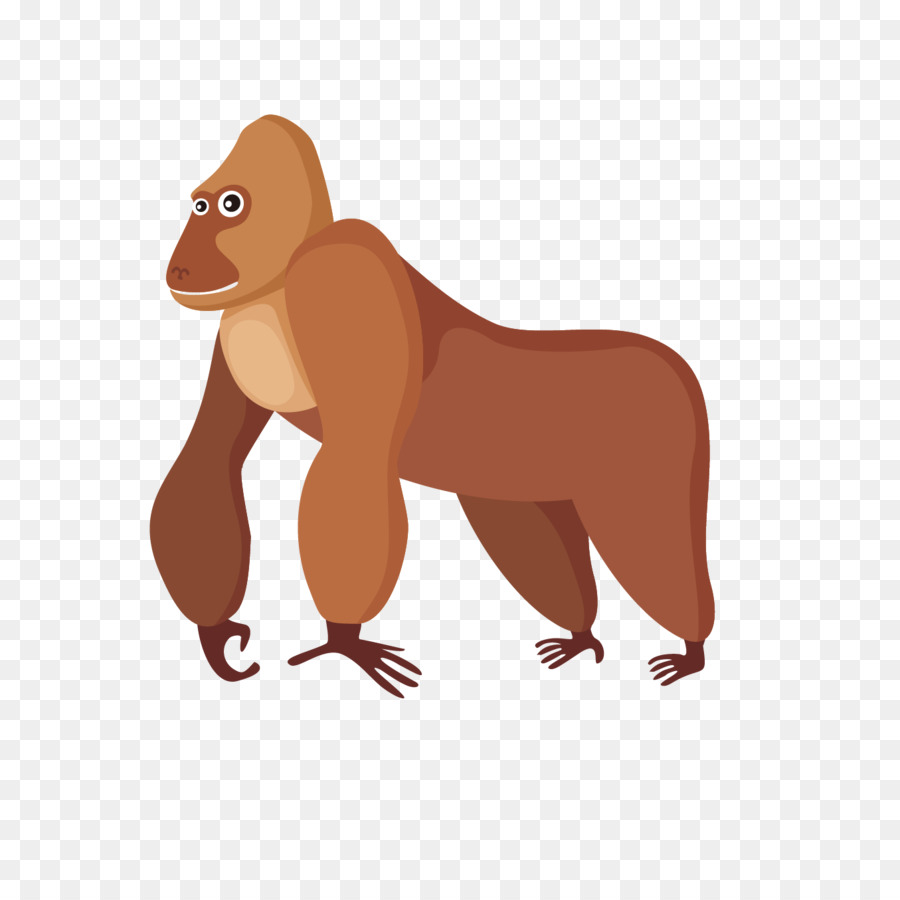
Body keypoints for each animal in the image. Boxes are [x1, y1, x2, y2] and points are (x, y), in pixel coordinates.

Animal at [150, 115, 715, 695]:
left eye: (230, 205)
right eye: (198, 206)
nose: (180, 271)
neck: (277, 283)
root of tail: (677, 369)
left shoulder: (349, 269)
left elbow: (357, 460)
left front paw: (344, 639)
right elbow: (212, 455)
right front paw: (217, 634)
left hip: (650, 451)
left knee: (655, 543)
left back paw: (690, 650)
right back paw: (581, 636)